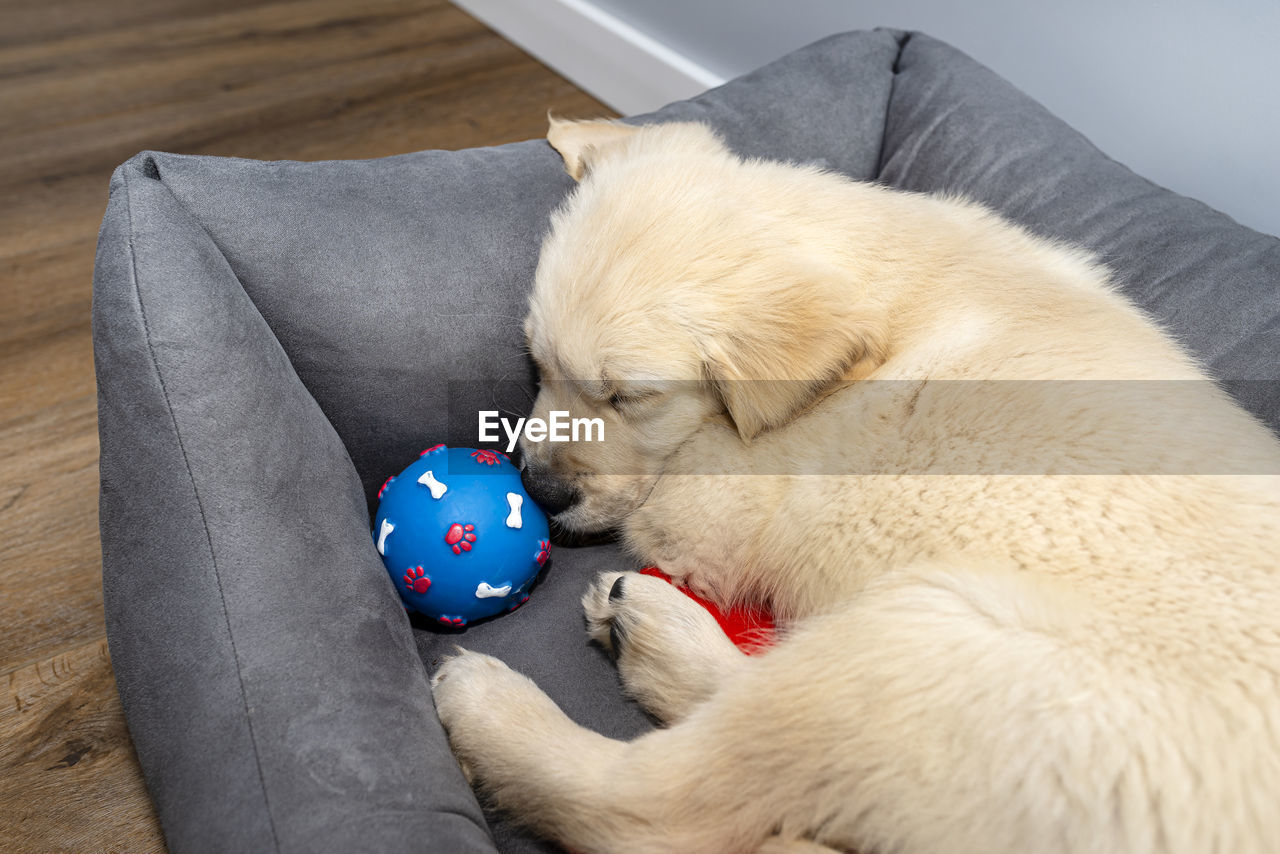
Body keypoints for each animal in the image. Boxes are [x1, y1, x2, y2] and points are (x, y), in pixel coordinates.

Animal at [432, 118, 1280, 854]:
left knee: (656, 810)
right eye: (538, 363)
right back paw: (649, 633)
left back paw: (502, 700)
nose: (540, 491)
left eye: (629, 396)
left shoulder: (719, 503)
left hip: (922, 641)